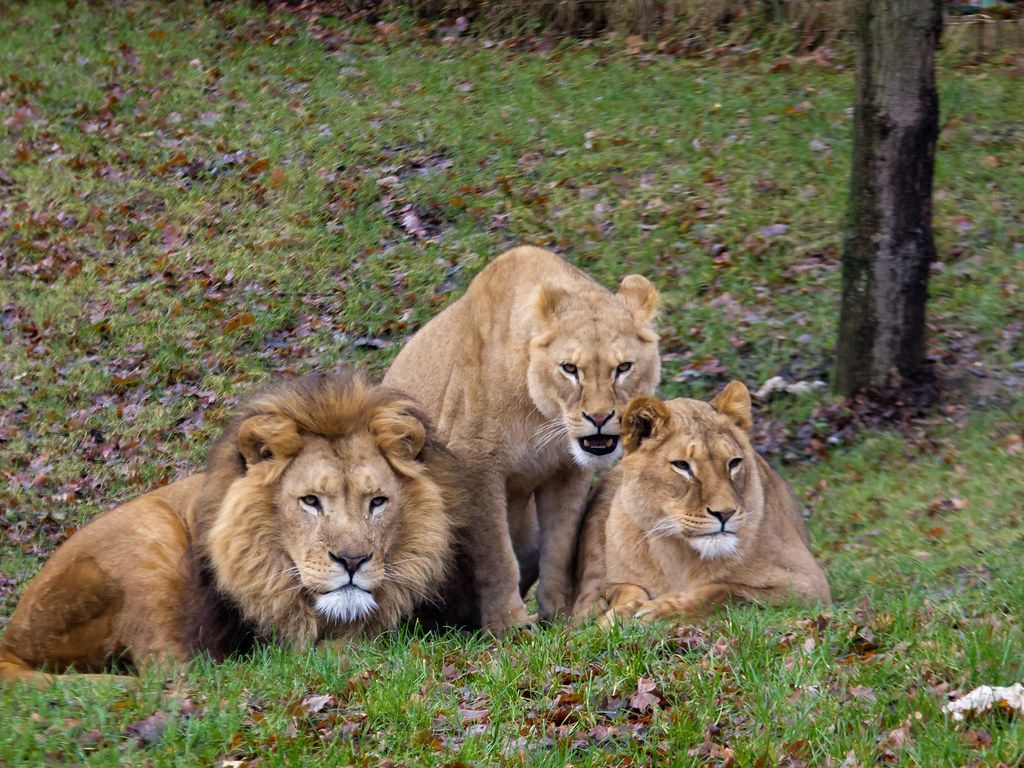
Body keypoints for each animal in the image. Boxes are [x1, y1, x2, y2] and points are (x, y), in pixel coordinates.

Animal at [0, 373, 461, 686]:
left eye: (377, 502)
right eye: (311, 501)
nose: (352, 561)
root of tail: (12, 638)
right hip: (150, 542)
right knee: (172, 675)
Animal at [383, 246, 660, 631]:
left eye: (623, 368)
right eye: (570, 369)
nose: (600, 418)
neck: (541, 415)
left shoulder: (568, 471)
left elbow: (561, 546)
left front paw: (559, 614)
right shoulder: (475, 466)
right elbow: (496, 554)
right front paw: (509, 625)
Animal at [571, 381, 831, 625]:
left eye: (734, 463)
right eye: (682, 465)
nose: (725, 513)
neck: (676, 555)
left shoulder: (808, 584)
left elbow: (727, 591)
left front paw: (659, 610)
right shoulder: (615, 581)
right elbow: (623, 589)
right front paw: (619, 614)